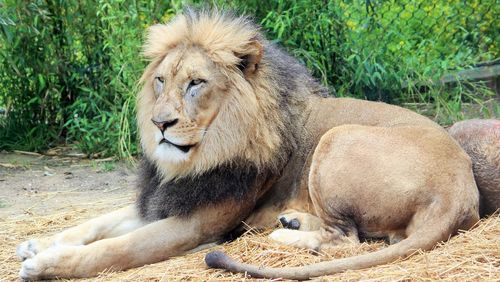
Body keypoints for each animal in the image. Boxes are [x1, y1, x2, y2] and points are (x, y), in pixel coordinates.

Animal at [16, 8, 500, 280]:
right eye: (161, 81)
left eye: (196, 84)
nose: (160, 124)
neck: (200, 157)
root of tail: (459, 190)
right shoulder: (164, 199)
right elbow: (96, 224)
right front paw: (41, 244)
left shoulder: (197, 224)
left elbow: (116, 248)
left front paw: (45, 265)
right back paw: (291, 222)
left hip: (336, 138)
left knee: (349, 240)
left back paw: (282, 235)